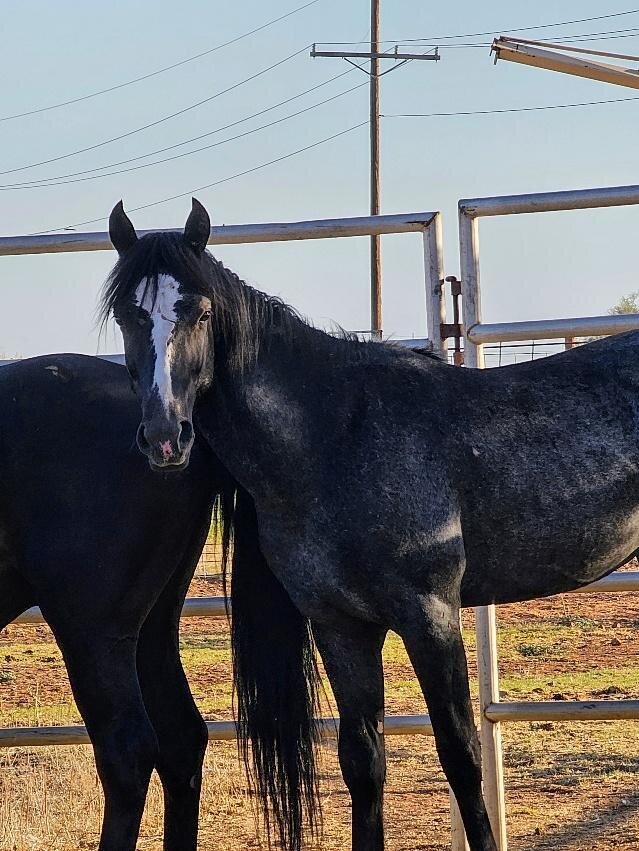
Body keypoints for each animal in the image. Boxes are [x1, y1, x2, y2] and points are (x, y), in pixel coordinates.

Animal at [105, 197, 639, 851]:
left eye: (201, 311)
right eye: (127, 315)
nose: (164, 438)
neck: (338, 434)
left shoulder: (430, 616)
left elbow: (461, 755)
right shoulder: (341, 626)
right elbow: (362, 761)